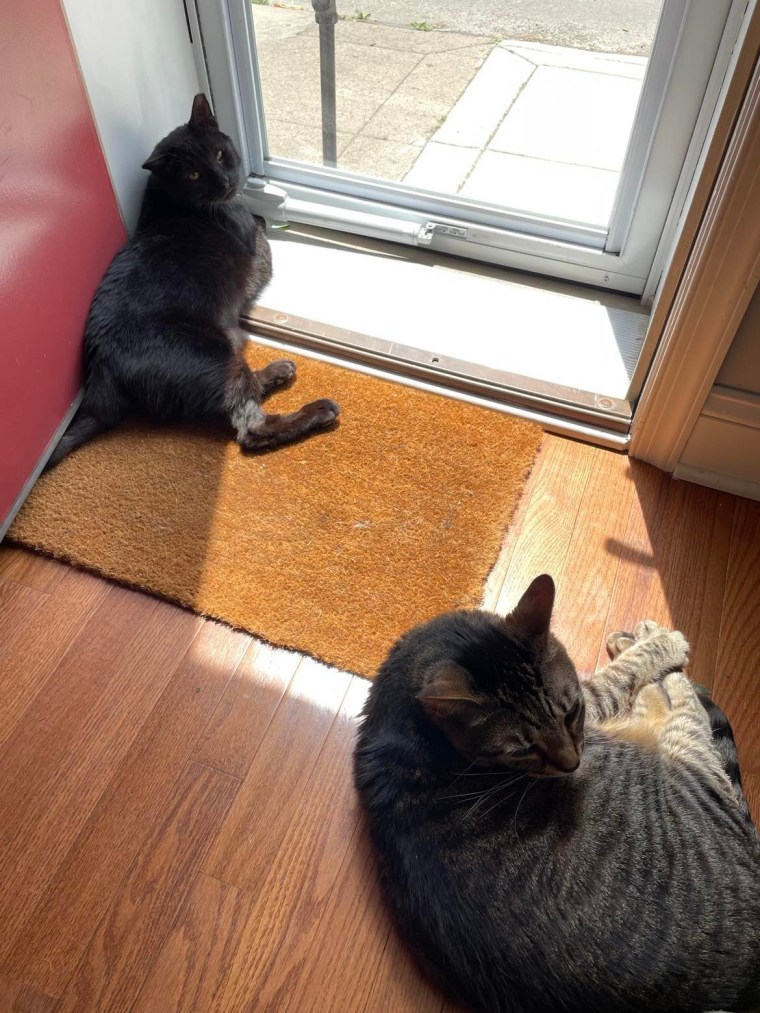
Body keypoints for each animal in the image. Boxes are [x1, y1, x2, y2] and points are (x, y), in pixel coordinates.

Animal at [49, 95, 340, 465]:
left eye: (218, 153)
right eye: (194, 174)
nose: (225, 181)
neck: (171, 202)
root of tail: (102, 370)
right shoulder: (260, 250)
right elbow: (260, 228)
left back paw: (278, 371)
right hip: (215, 352)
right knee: (251, 428)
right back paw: (318, 410)